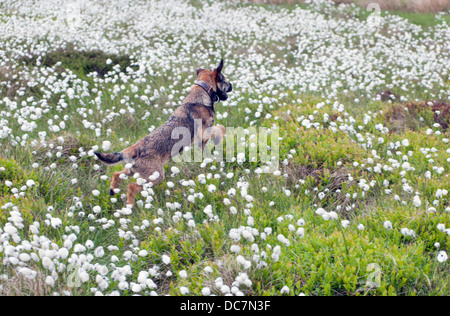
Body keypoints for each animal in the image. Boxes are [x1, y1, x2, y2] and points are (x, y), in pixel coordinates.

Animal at [93, 59, 234, 207]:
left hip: (133, 171)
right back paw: (129, 207)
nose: (231, 86)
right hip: (156, 176)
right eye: (224, 79)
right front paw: (218, 139)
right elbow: (221, 128)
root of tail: (131, 149)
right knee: (132, 187)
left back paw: (113, 190)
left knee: (116, 174)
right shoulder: (204, 132)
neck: (203, 91)